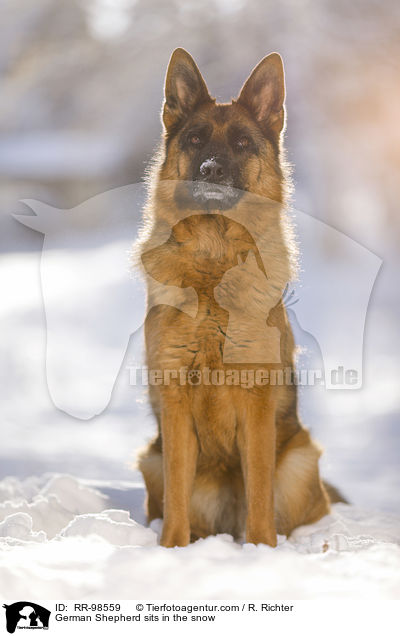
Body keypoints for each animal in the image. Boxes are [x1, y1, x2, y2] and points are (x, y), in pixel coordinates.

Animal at [138, 48, 340, 548]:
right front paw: (171, 550)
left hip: (301, 460)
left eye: (244, 143)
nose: (211, 170)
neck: (214, 264)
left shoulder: (256, 405)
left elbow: (260, 492)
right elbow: (177, 491)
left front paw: (261, 551)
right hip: (150, 459)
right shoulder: (175, 404)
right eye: (194, 139)